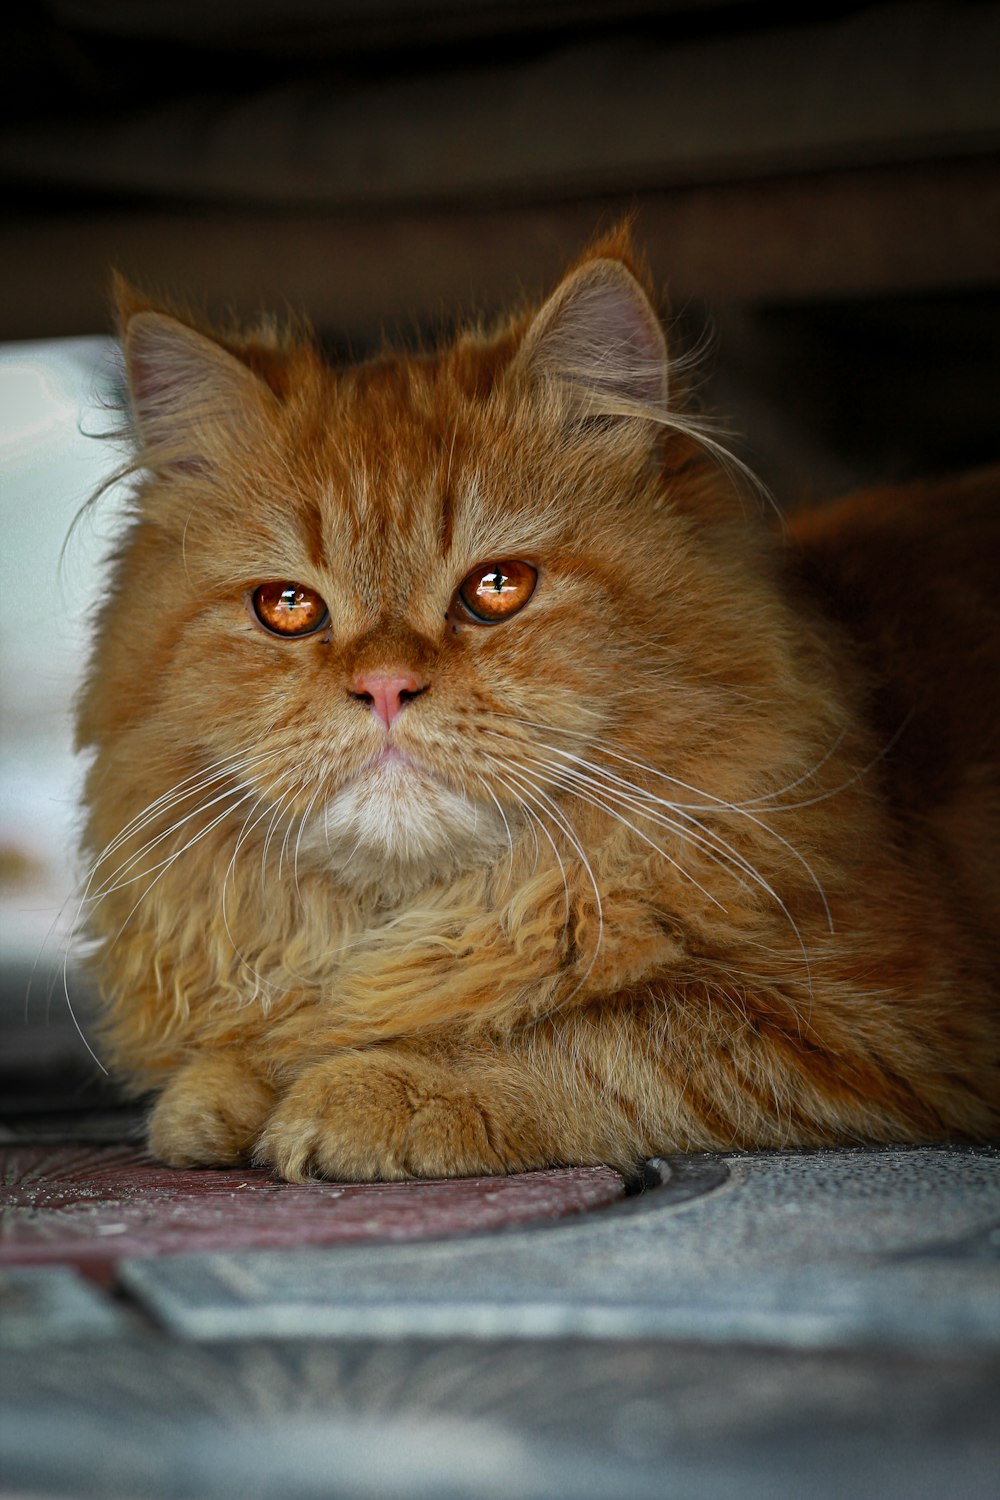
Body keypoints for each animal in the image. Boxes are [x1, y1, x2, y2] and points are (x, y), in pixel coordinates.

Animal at [78, 231, 1000, 1182]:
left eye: (498, 589)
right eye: (288, 608)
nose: (385, 686)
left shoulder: (870, 1016)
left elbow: (596, 1039)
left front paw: (373, 1088)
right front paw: (228, 1086)